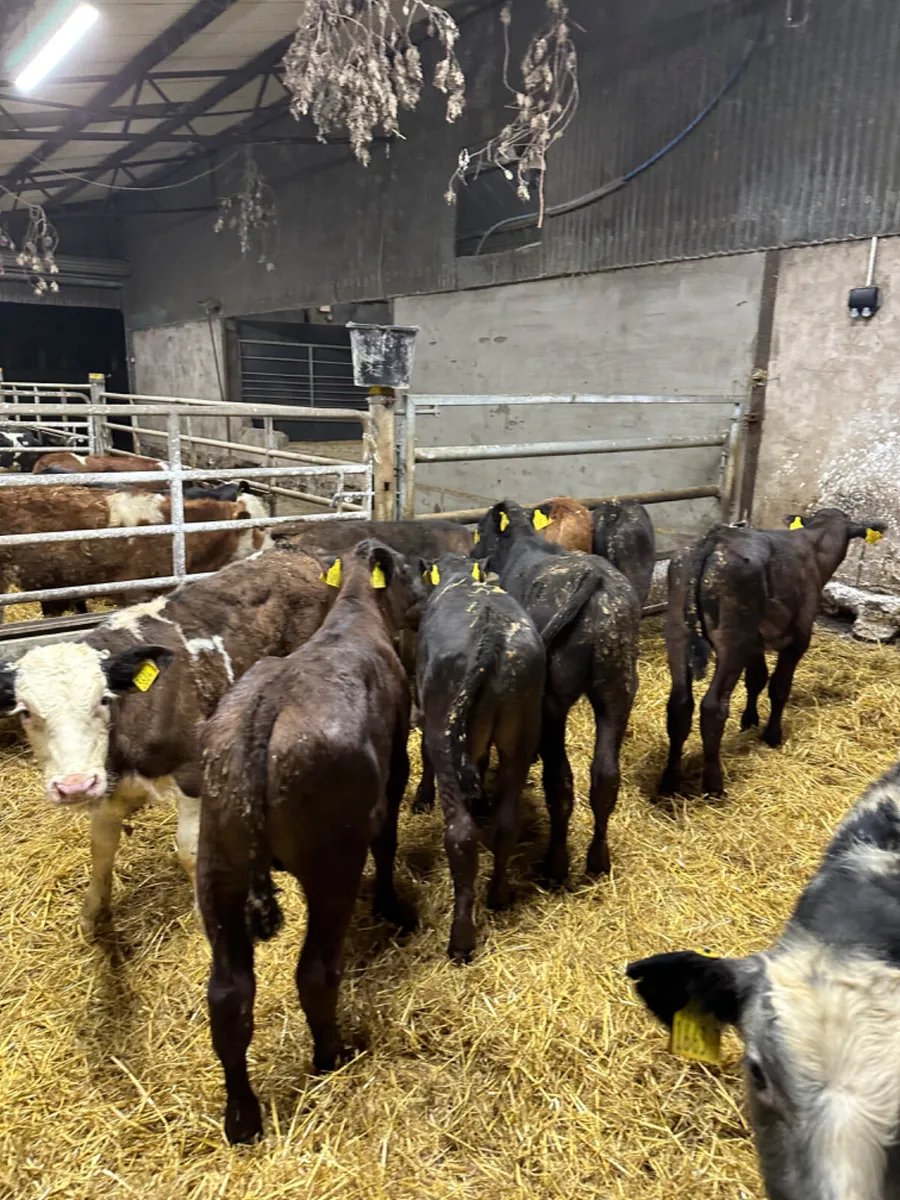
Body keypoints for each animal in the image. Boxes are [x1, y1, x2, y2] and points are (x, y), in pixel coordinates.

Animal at [0, 546, 332, 933]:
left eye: (103, 699)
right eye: (25, 712)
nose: (75, 786)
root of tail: (293, 551)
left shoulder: (192, 773)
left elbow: (189, 850)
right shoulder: (109, 786)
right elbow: (101, 846)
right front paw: (91, 914)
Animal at [197, 539, 427, 1144]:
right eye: (412, 569)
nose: (425, 592)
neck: (352, 615)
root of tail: (261, 717)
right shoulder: (395, 763)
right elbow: (388, 839)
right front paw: (391, 905)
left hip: (219, 868)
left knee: (229, 997)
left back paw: (242, 1119)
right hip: (331, 864)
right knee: (315, 971)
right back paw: (332, 1055)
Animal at [414, 552, 545, 961]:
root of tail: (492, 632)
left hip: (443, 731)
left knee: (460, 836)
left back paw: (460, 939)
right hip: (522, 735)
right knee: (506, 824)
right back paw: (499, 895)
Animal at [473, 500, 640, 883]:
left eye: (478, 531)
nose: (473, 557)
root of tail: (597, 580)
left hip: (554, 699)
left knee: (560, 780)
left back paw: (555, 864)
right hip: (618, 689)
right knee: (605, 777)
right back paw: (598, 860)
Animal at [660, 508, 888, 798]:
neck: (813, 544)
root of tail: (715, 539)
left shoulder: (755, 642)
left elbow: (756, 679)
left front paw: (749, 720)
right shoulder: (798, 638)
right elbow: (779, 687)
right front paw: (772, 735)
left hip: (678, 631)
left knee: (679, 704)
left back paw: (669, 782)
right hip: (733, 638)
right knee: (712, 707)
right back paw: (714, 785)